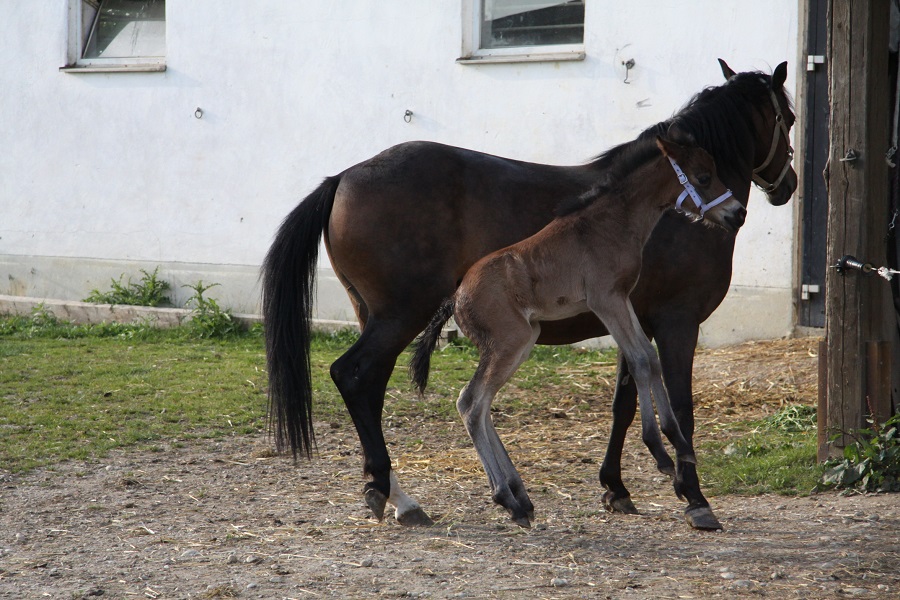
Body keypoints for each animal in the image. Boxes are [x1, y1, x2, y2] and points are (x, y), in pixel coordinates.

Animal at [409, 130, 744, 527]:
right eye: (704, 177)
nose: (737, 213)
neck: (611, 223)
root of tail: (456, 297)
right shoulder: (605, 300)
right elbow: (639, 359)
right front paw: (661, 451)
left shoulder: (623, 298)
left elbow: (647, 358)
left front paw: (675, 444)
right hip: (510, 343)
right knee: (470, 403)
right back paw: (508, 499)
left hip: (524, 340)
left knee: (481, 403)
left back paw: (520, 497)